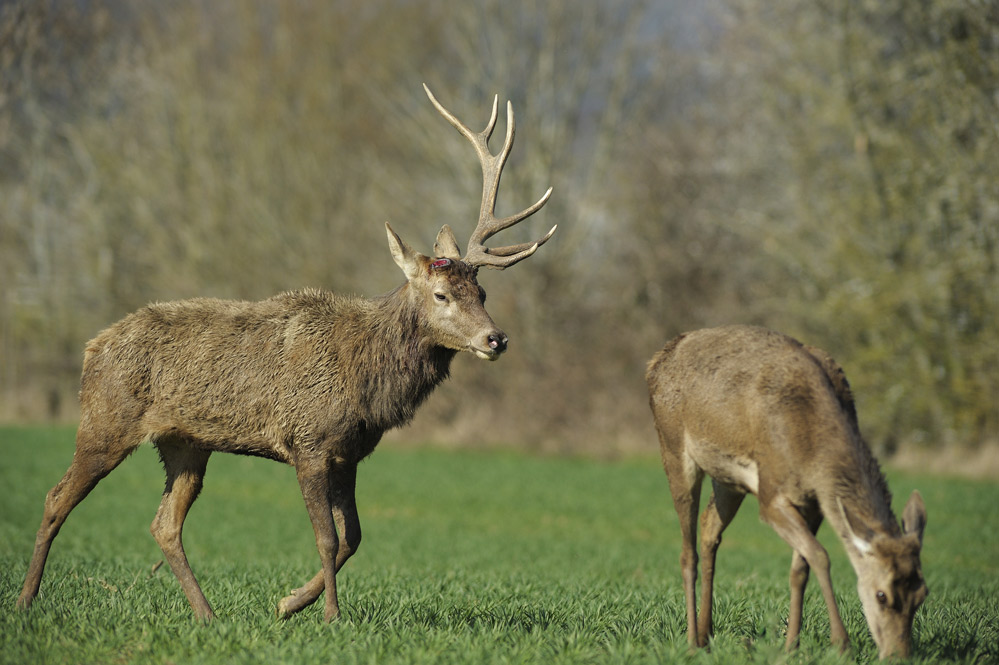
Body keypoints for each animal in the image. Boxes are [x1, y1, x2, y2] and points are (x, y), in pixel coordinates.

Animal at [15, 84, 560, 624]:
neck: (366, 379)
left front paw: (288, 603)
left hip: (185, 442)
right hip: (105, 421)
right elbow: (329, 538)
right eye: (442, 295)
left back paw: (207, 615)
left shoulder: (349, 452)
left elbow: (354, 537)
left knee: (164, 524)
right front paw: (329, 617)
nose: (496, 339)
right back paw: (26, 600)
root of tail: (92, 347)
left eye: (482, 293)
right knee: (55, 497)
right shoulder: (308, 440)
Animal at [648, 324, 928, 656]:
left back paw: (707, 634)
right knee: (686, 552)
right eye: (882, 595)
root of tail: (657, 360)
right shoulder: (771, 495)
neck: (812, 453)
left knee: (709, 527)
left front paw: (791, 645)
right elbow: (820, 555)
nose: (899, 654)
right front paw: (841, 643)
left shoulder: (815, 503)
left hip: (729, 480)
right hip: (672, 445)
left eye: (922, 594)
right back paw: (692, 642)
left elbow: (800, 568)